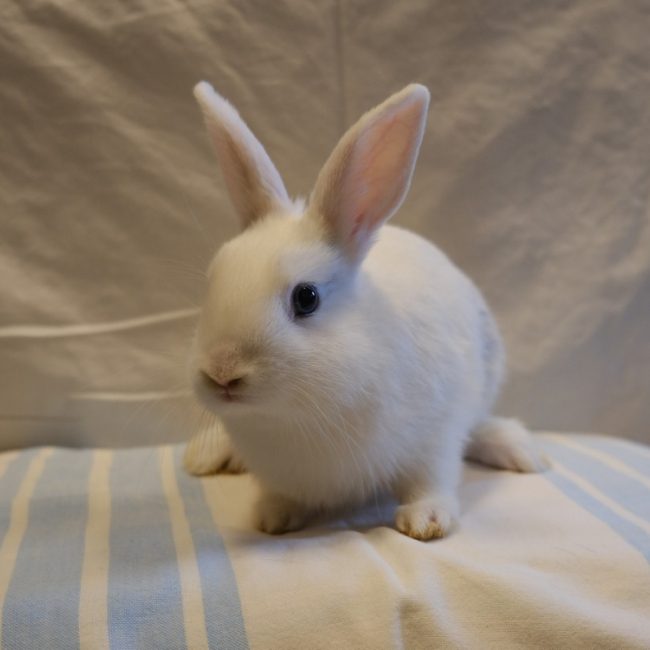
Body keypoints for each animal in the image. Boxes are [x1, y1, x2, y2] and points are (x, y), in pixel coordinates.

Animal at [185, 81, 549, 541]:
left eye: (307, 298)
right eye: (212, 280)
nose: (222, 373)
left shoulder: (435, 436)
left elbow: (432, 478)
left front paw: (427, 520)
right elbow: (280, 496)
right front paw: (273, 516)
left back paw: (521, 450)